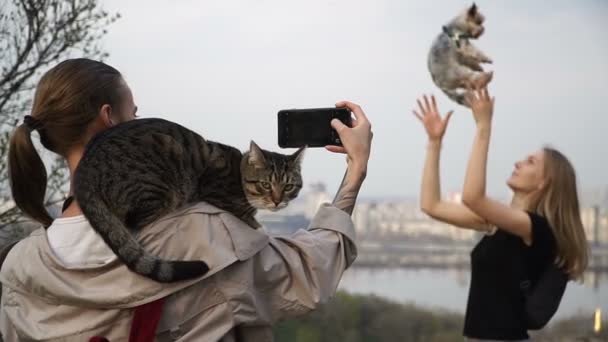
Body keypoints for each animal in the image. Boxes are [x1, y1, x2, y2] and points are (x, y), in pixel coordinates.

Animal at [74, 118, 306, 284]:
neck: (238, 176)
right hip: (159, 187)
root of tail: (84, 170)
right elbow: (254, 223)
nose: (277, 201)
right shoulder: (220, 195)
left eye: (288, 187)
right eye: (265, 184)